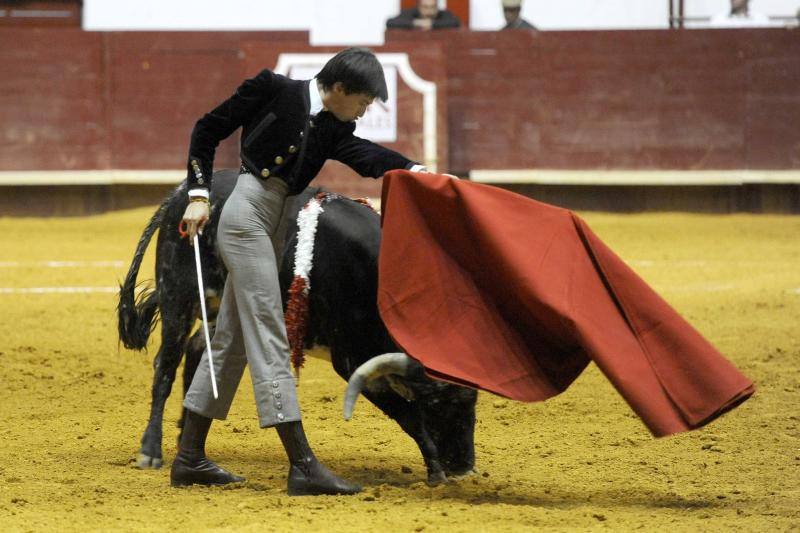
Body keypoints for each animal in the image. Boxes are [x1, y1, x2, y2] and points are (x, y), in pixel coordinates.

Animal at [116, 168, 478, 484]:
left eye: (472, 401)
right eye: (439, 403)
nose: (465, 466)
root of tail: (182, 193)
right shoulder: (352, 363)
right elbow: (408, 416)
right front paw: (435, 470)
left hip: (218, 310)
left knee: (197, 353)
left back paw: (183, 436)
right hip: (178, 295)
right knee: (166, 366)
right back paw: (151, 449)